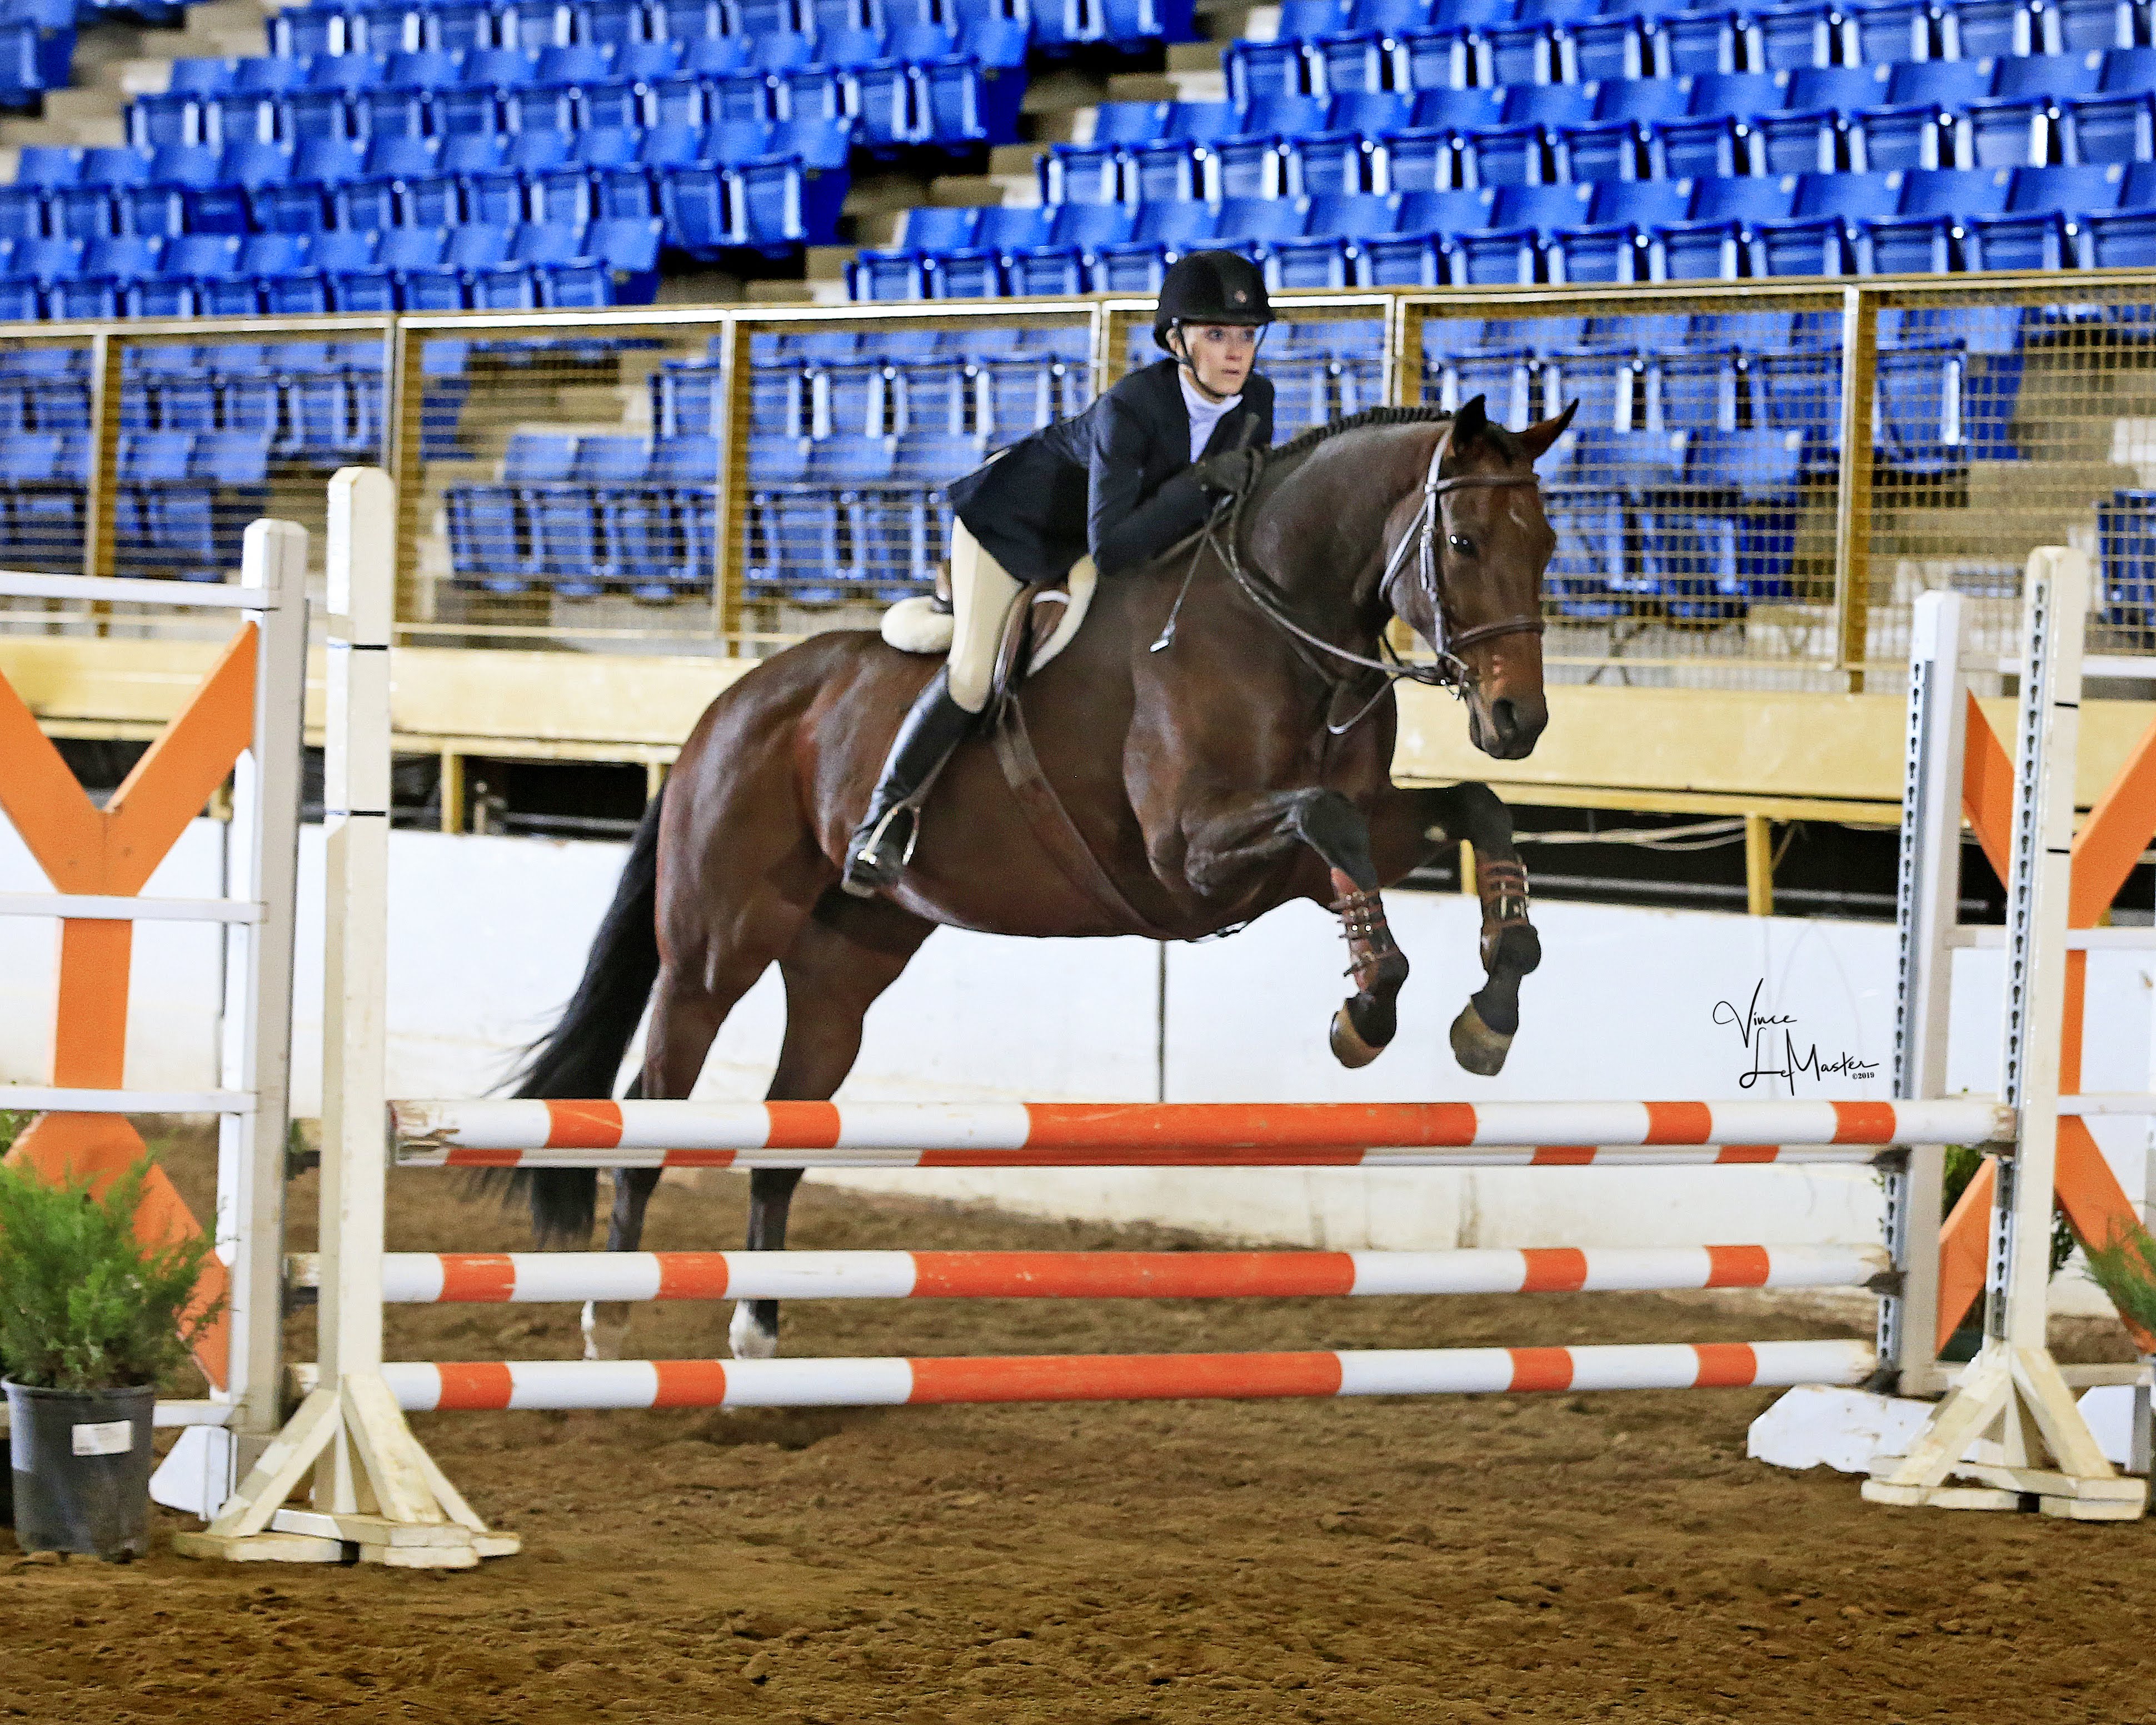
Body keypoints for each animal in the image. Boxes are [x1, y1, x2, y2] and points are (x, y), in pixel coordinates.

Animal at [506, 390, 1586, 1363]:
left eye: (1545, 544)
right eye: (1463, 544)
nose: (1520, 720)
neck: (1284, 624)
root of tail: (726, 704)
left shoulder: (1312, 854)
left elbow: (1467, 808)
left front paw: (1490, 1004)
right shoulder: (1190, 855)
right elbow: (1329, 820)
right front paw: (1366, 1012)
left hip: (846, 965)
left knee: (787, 1130)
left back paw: (758, 1335)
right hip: (713, 950)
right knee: (653, 1100)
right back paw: (610, 1321)